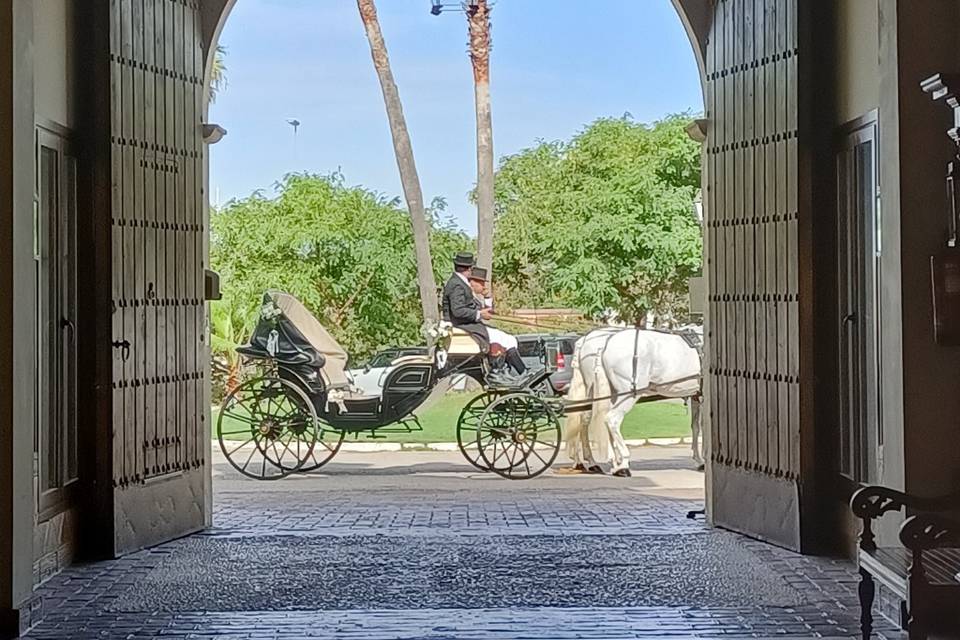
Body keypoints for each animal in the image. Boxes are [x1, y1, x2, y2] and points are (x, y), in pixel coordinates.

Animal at [568, 330, 700, 476]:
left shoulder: (697, 396)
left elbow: (696, 427)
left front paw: (699, 460)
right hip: (628, 393)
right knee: (611, 419)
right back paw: (622, 464)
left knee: (587, 418)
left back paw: (599, 462)